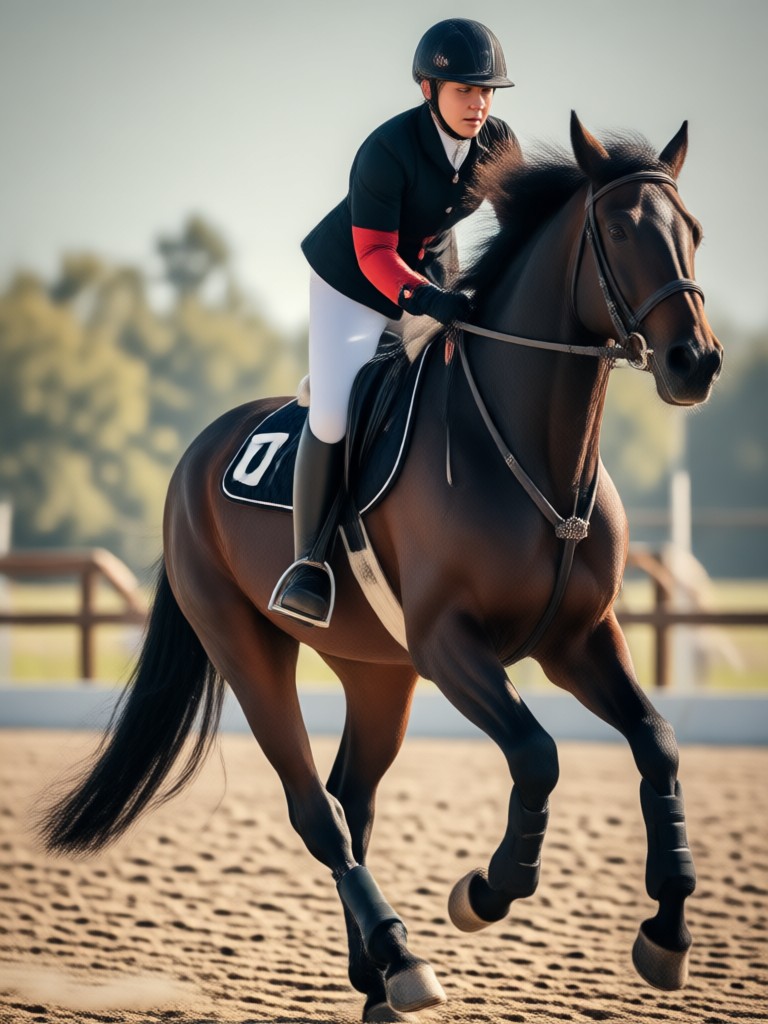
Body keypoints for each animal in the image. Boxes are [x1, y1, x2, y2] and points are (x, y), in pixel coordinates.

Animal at [40, 113, 722, 1022]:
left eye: (694, 232)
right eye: (616, 230)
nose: (695, 363)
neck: (532, 450)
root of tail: (196, 453)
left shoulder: (578, 638)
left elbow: (658, 743)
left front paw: (669, 929)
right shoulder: (451, 645)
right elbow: (537, 754)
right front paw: (485, 892)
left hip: (376, 670)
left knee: (351, 797)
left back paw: (376, 976)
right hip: (247, 644)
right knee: (316, 810)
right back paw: (402, 957)